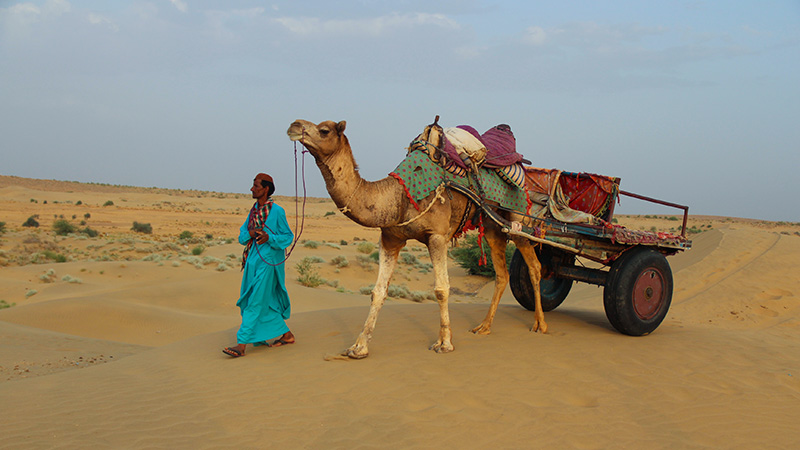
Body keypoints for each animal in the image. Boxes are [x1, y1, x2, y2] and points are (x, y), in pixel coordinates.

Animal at [287, 119, 545, 359]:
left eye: (324, 130)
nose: (294, 125)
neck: (398, 197)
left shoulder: (437, 236)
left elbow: (441, 289)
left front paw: (444, 343)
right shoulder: (390, 239)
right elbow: (378, 291)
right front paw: (359, 347)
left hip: (517, 219)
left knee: (534, 266)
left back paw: (540, 325)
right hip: (493, 226)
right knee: (502, 274)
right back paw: (484, 327)